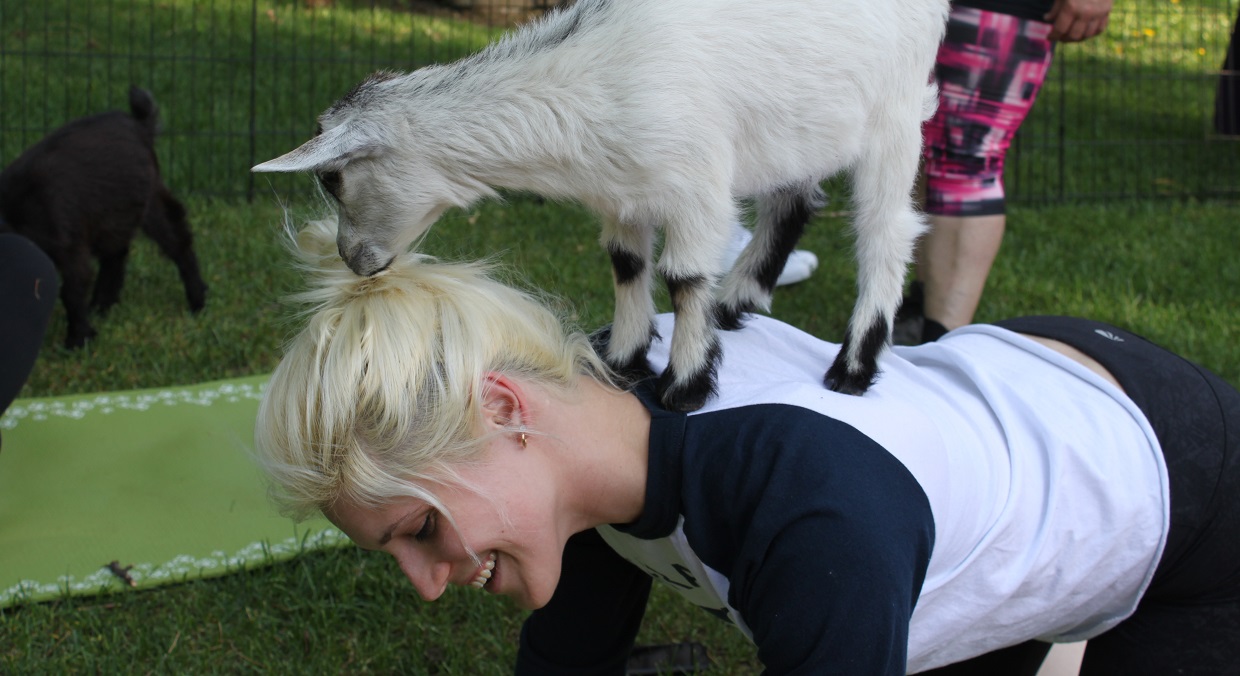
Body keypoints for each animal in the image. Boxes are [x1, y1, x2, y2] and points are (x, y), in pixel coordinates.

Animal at [0, 85, 205, 347]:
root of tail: (139, 125)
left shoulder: (69, 246)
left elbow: (72, 291)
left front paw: (77, 340)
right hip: (113, 217)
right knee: (115, 256)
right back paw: (101, 305)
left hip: (150, 204)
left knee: (178, 243)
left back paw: (197, 300)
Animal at [251, 0, 947, 411]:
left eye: (333, 179)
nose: (353, 259)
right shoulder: (624, 193)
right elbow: (626, 264)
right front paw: (622, 358)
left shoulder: (696, 184)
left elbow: (682, 276)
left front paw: (683, 385)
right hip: (798, 128)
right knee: (793, 202)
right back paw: (737, 303)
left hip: (894, 119)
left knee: (886, 232)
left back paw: (853, 365)